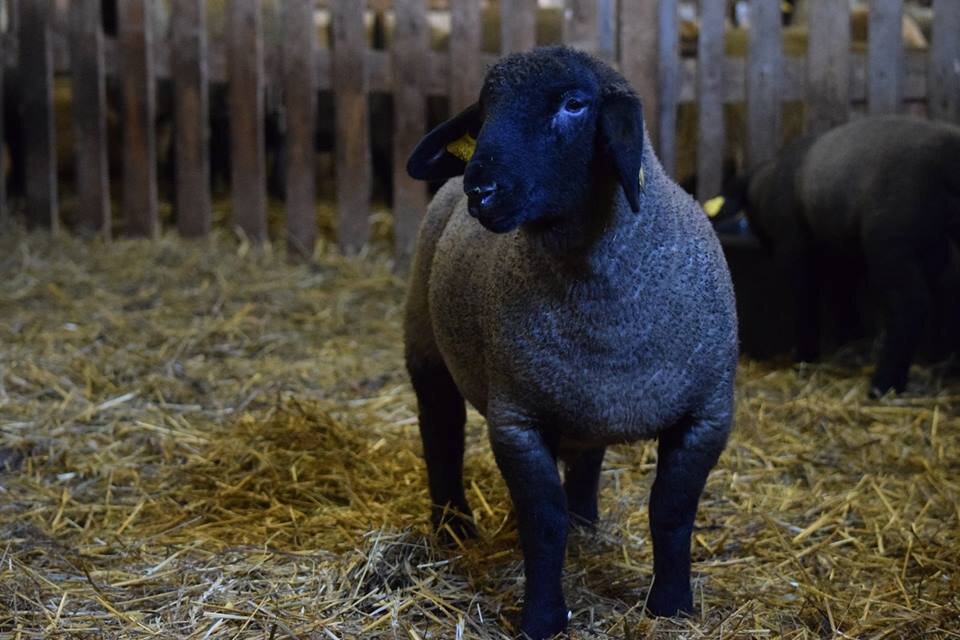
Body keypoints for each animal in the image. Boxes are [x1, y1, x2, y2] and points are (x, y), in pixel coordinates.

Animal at [402, 46, 740, 640]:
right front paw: (542, 618)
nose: (479, 190)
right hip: (426, 346)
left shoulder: (707, 414)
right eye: (485, 109)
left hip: (583, 403)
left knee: (586, 453)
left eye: (574, 105)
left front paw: (672, 605)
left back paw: (586, 521)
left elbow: (671, 512)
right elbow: (542, 523)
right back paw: (453, 527)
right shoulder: (517, 422)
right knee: (441, 431)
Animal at [708, 114, 960, 396]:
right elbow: (844, 297)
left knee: (910, 306)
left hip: (892, 241)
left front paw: (805, 358)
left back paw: (883, 383)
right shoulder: (844, 251)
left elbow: (805, 299)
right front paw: (851, 342)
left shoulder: (794, 247)